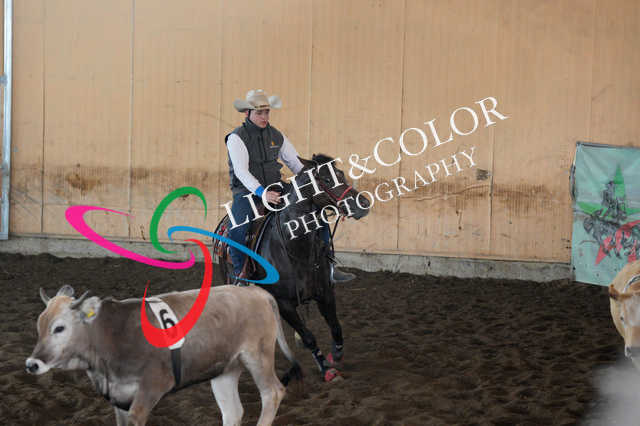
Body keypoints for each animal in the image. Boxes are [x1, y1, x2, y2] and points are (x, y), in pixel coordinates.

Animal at [26, 284, 302, 426]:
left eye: (59, 328)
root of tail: (258, 292)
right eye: (39, 325)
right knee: (232, 412)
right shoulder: (119, 398)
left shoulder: (151, 387)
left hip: (258, 355)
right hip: (225, 369)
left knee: (272, 393)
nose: (32, 364)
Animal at [215, 154, 370, 381]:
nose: (363, 204)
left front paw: (335, 355)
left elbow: (336, 327)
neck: (294, 244)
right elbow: (309, 337)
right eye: (326, 179)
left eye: (341, 174)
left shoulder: (325, 292)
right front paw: (325, 367)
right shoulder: (284, 303)